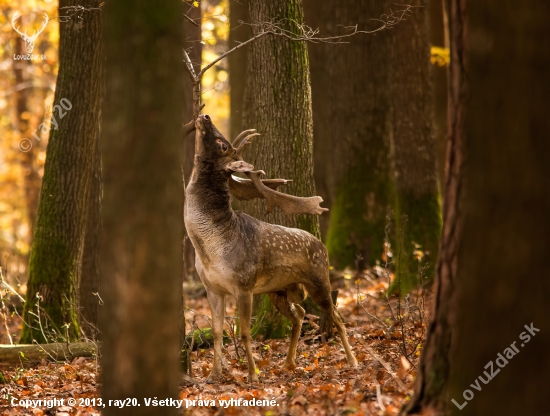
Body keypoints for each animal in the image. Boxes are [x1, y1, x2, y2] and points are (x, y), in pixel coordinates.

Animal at [184, 115, 358, 382]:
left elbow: (244, 332)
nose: (205, 116)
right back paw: (288, 362)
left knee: (336, 316)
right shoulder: (212, 287)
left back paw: (353, 361)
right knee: (299, 314)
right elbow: (217, 332)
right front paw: (214, 375)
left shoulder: (244, 284)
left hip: (319, 279)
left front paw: (253, 375)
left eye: (223, 145)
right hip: (279, 290)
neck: (209, 249)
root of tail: (322, 245)